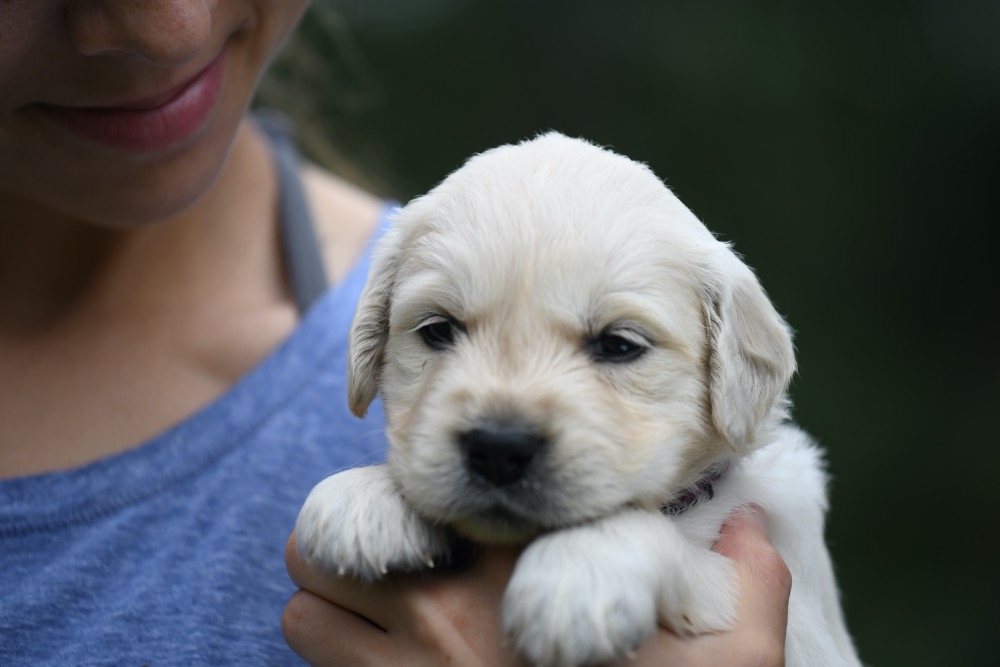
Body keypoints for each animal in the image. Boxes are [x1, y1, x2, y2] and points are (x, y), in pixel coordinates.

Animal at [294, 133, 860, 664]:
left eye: (618, 345)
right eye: (437, 331)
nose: (498, 448)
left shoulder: (797, 626)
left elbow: (661, 542)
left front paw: (576, 577)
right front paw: (366, 496)